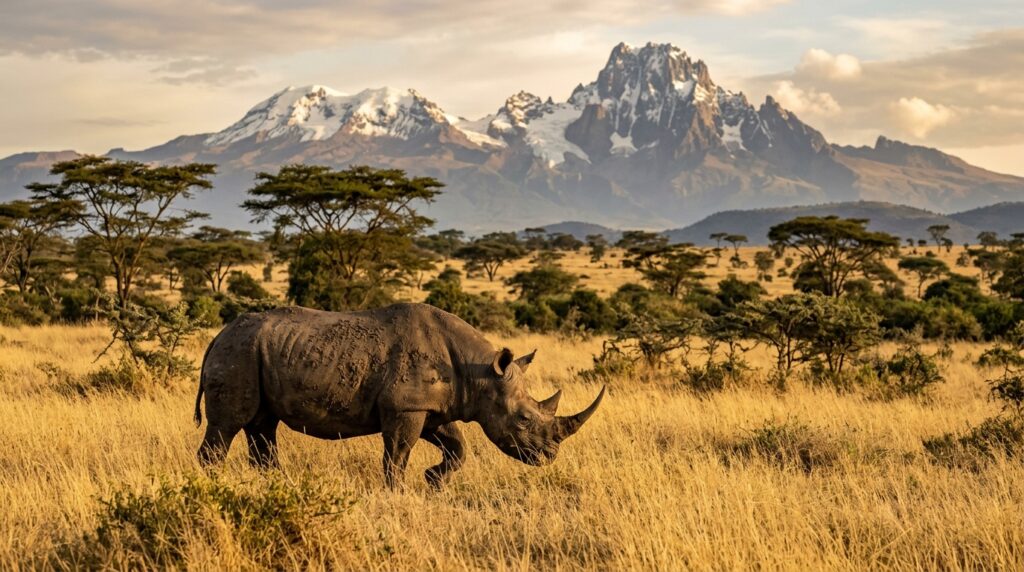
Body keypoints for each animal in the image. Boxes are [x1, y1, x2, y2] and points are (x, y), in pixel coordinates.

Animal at [194, 303, 605, 487]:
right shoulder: (405, 407)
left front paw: (433, 480)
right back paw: (210, 486)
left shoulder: (433, 407)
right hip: (238, 353)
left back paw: (275, 485)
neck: (482, 373)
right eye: (522, 419)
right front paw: (398, 492)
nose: (549, 457)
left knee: (263, 427)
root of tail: (217, 336)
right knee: (227, 426)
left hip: (254, 353)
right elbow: (397, 455)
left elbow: (457, 447)